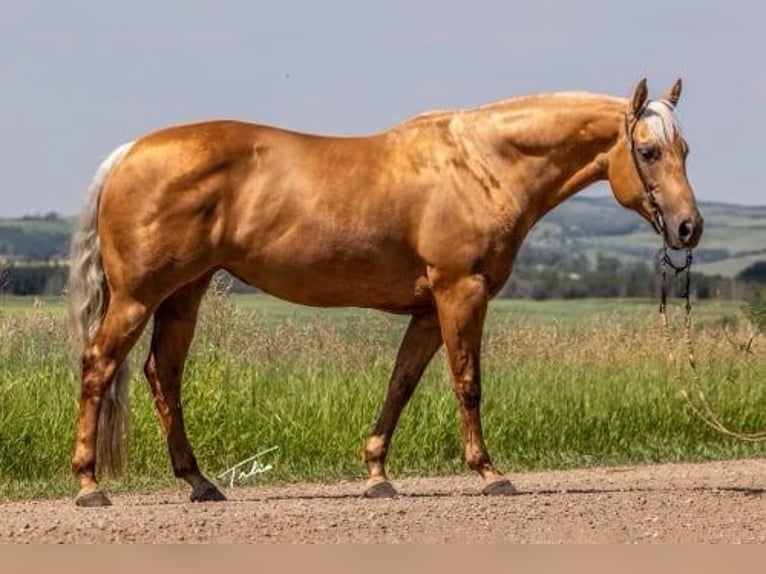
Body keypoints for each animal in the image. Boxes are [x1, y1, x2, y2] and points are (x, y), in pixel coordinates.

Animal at [69, 79, 704, 506]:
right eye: (648, 151)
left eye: (685, 150)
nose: (688, 228)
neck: (482, 165)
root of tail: (128, 153)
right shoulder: (461, 292)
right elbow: (467, 383)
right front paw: (489, 473)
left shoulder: (427, 309)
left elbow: (400, 385)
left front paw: (377, 475)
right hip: (138, 297)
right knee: (100, 366)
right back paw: (89, 485)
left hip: (185, 293)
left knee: (163, 374)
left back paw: (200, 483)